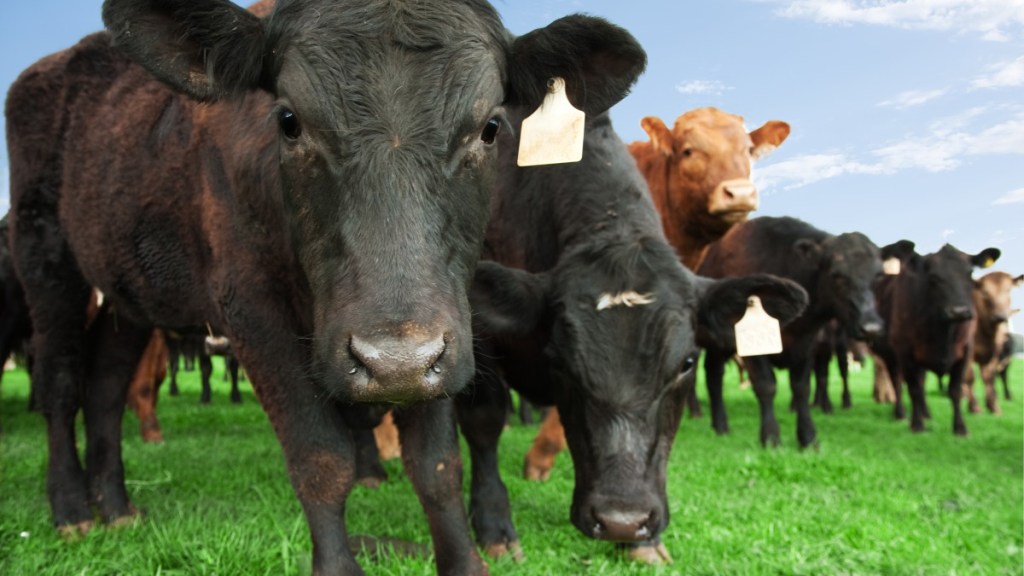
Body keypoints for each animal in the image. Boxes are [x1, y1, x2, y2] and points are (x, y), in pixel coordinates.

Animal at [5, 0, 646, 573]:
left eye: (491, 128)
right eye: (288, 121)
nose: (393, 361)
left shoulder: (443, 328)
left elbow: (437, 466)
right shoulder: (251, 309)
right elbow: (320, 457)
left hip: (127, 292)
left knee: (105, 385)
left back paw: (114, 506)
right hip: (45, 259)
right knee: (61, 381)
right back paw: (71, 509)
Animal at [698, 216, 885, 448]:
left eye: (878, 276)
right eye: (836, 275)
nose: (871, 327)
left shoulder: (807, 344)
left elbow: (802, 388)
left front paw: (808, 437)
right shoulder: (751, 348)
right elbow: (766, 385)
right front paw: (770, 437)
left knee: (713, 374)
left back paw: (720, 425)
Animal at [871, 242, 1000, 435]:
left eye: (969, 273)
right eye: (933, 277)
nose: (959, 311)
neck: (944, 330)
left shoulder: (966, 351)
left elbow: (955, 390)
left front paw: (960, 428)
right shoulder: (904, 351)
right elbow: (913, 388)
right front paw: (917, 424)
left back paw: (926, 413)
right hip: (889, 354)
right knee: (897, 381)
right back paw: (900, 413)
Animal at [963, 271, 1022, 414]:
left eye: (1008, 289)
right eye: (985, 293)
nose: (1000, 316)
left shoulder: (995, 354)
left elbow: (990, 377)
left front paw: (993, 406)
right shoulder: (968, 353)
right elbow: (970, 377)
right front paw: (975, 407)